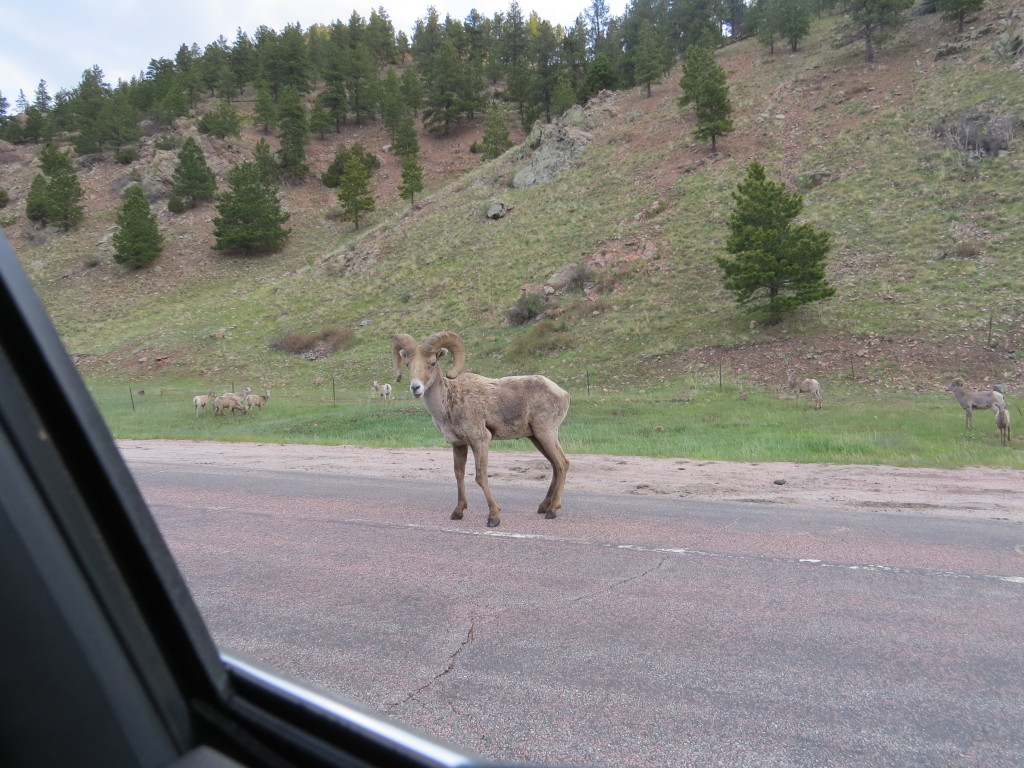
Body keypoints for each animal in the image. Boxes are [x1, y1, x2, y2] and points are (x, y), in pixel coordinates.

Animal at [391, 331, 573, 528]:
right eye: (408, 364)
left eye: (432, 363)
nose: (415, 387)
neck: (449, 403)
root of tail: (563, 394)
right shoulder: (459, 445)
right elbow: (459, 475)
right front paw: (458, 512)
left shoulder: (480, 441)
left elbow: (480, 477)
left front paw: (494, 517)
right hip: (536, 438)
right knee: (555, 466)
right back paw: (543, 506)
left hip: (546, 433)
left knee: (562, 464)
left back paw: (552, 510)